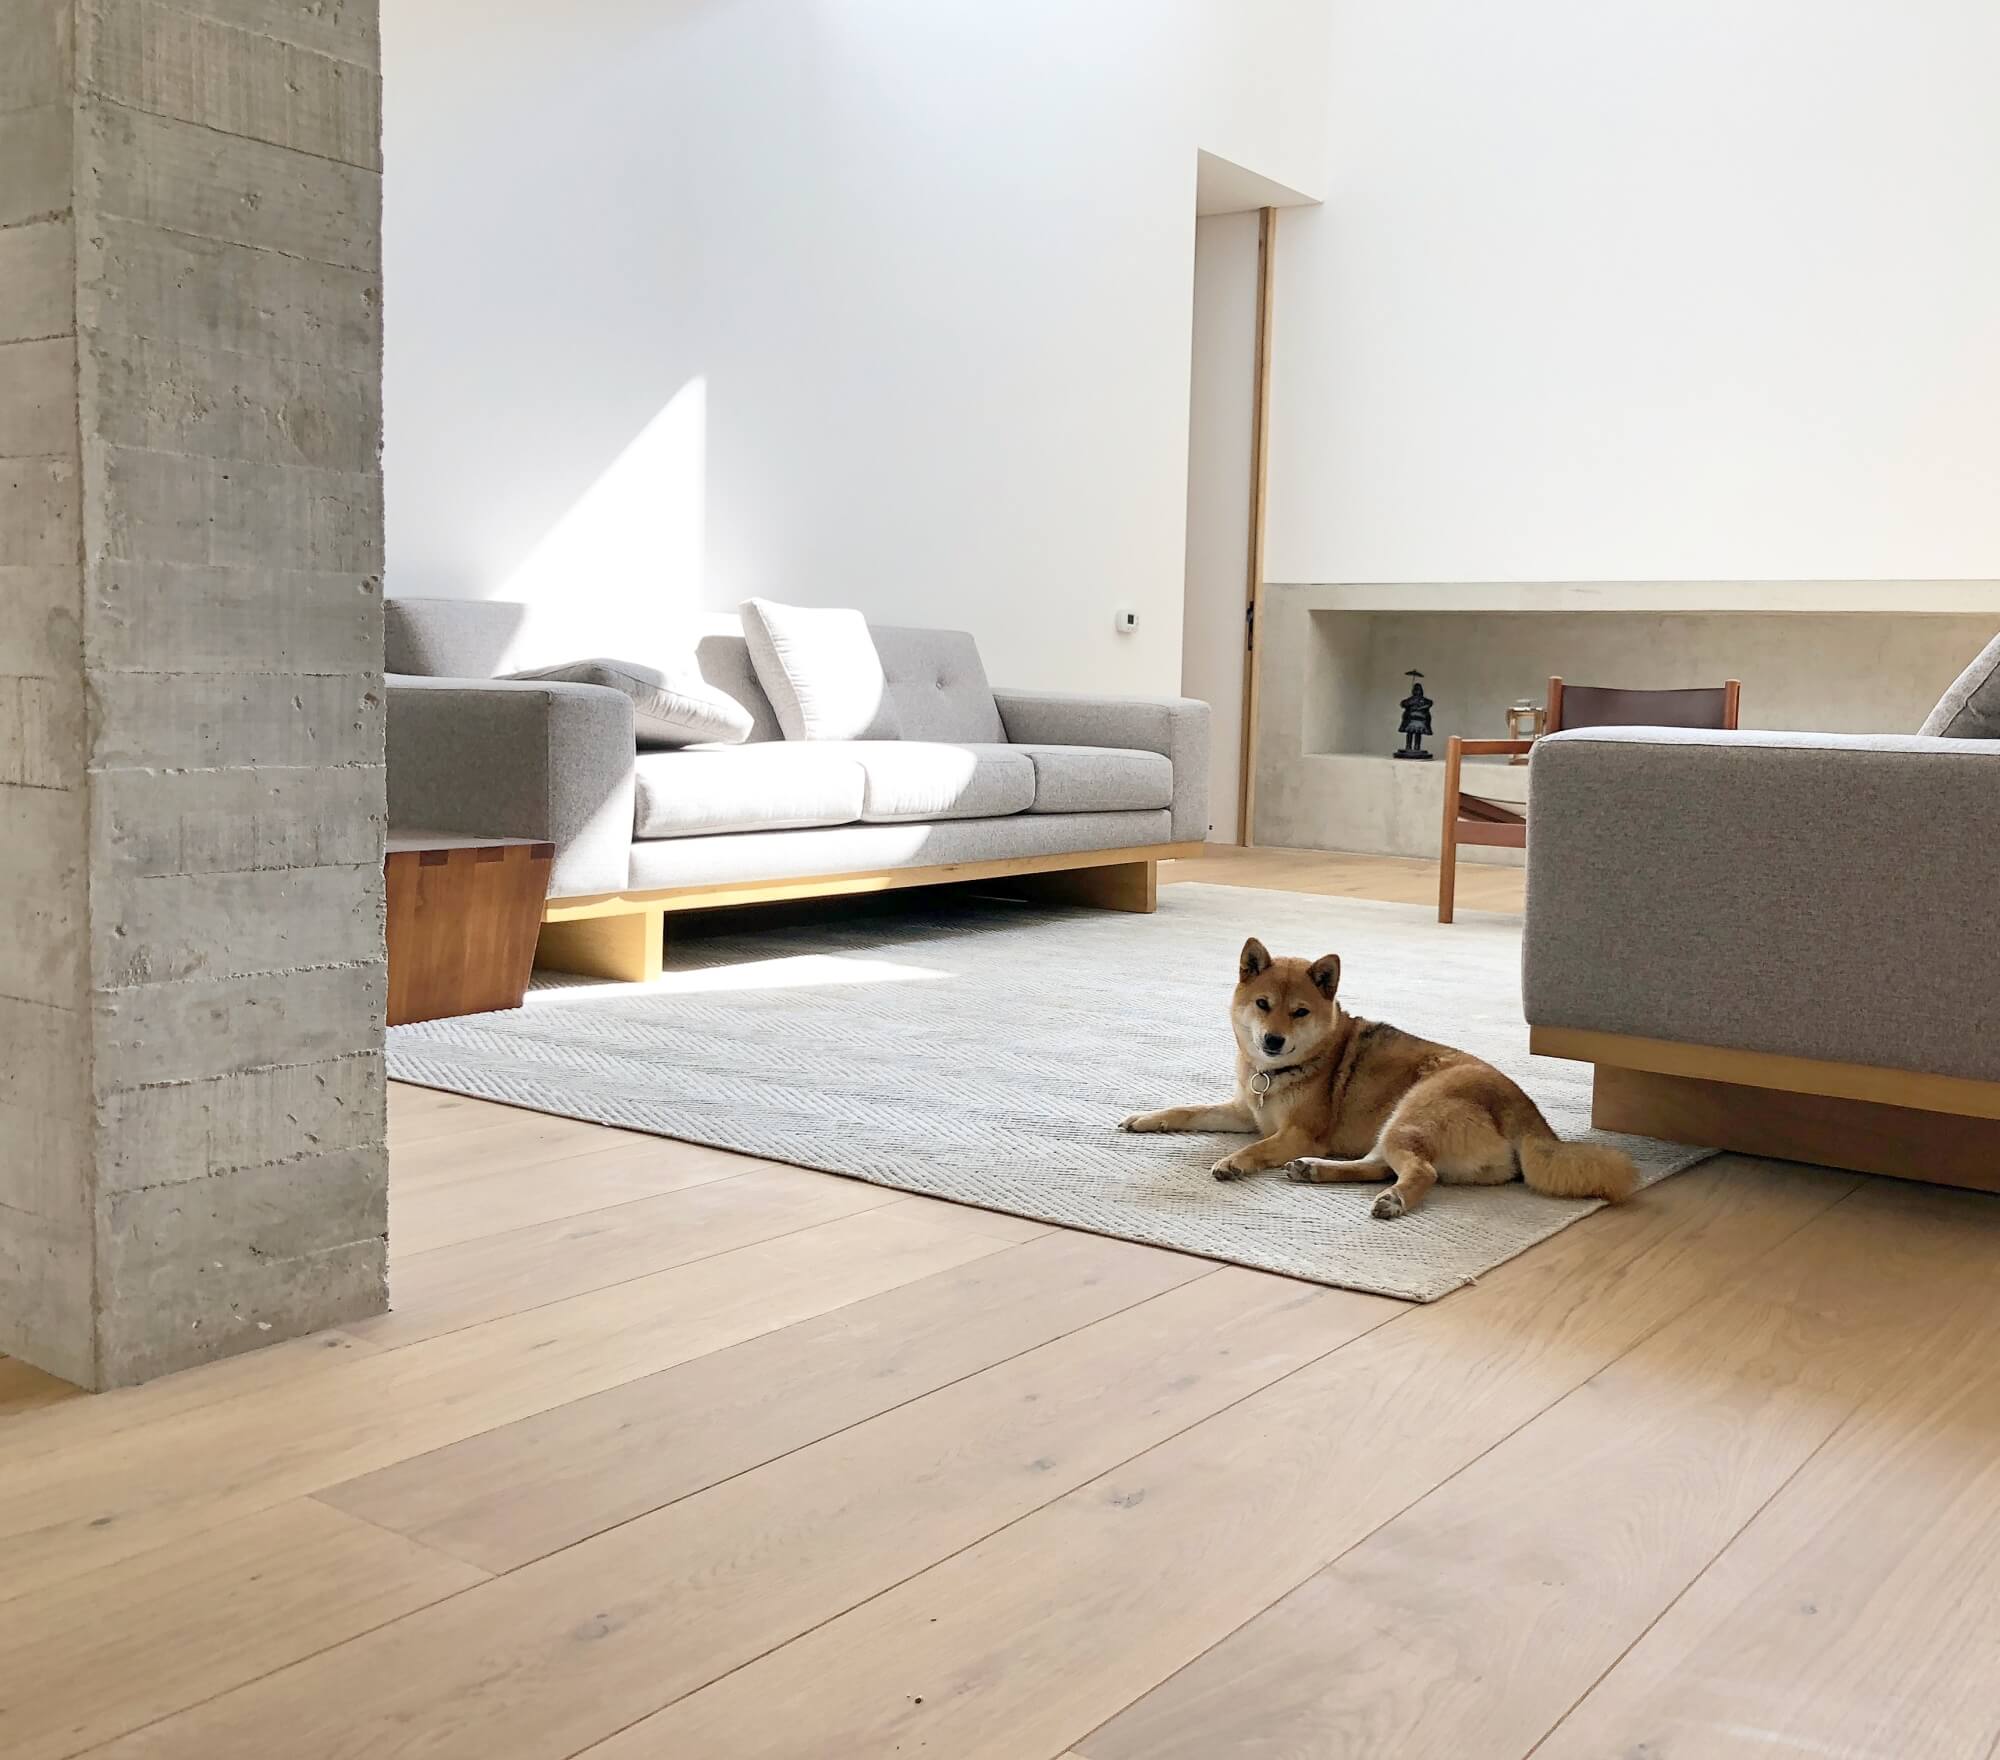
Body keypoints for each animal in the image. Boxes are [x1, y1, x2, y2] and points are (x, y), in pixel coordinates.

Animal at [1120, 936, 1632, 1224]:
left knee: (1418, 1172)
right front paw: (1146, 1119)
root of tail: (1526, 1113)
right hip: (1394, 1130)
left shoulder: (1299, 1132)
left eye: (1299, 1012)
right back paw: (1316, 1171)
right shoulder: (1247, 1111)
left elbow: (1259, 1149)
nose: (1272, 1041)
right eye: (1263, 1004)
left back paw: (1392, 1201)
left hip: (1410, 1112)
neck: (1277, 1073)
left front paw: (1233, 1162)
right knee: (1380, 1165)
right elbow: (1186, 1110)